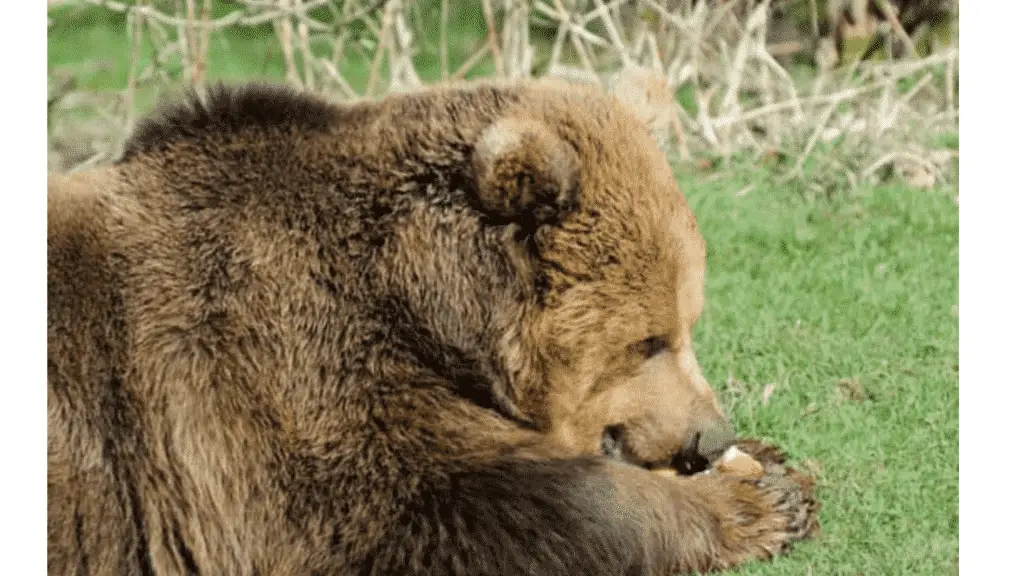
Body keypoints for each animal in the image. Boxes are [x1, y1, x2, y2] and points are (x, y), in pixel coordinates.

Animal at [48, 77, 819, 573]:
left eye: (688, 323)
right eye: (647, 340)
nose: (708, 434)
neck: (410, 306)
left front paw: (773, 464)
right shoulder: (260, 367)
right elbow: (424, 506)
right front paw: (757, 500)